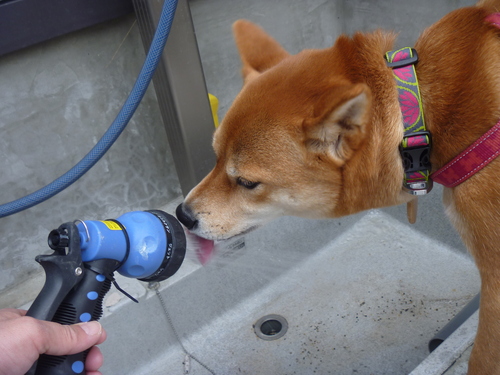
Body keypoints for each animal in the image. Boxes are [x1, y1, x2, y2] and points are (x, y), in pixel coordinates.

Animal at [178, 1, 500, 374]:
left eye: (247, 182)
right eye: (215, 158)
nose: (182, 214)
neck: (423, 115)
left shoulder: (494, 286)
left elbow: (482, 358)